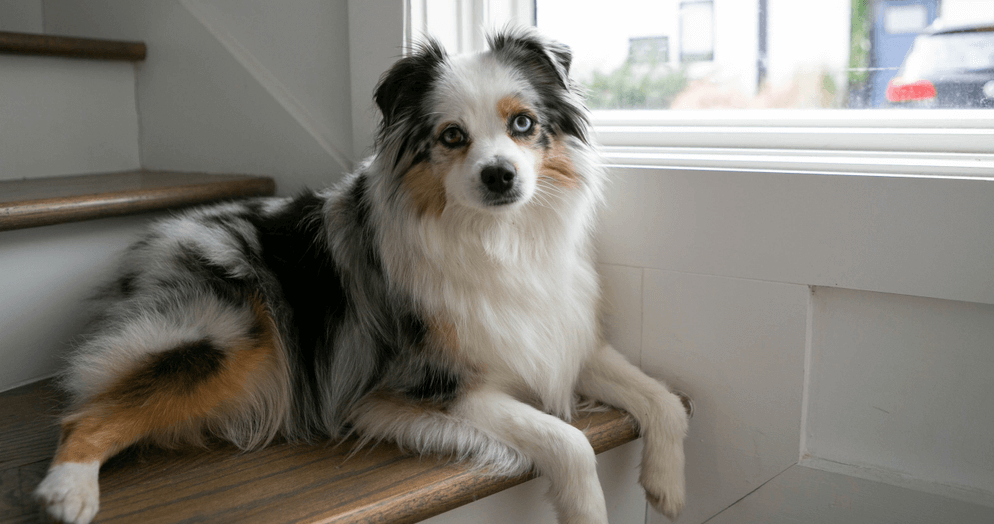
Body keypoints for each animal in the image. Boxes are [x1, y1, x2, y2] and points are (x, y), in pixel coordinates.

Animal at [29, 27, 680, 524]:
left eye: (522, 123)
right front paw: (589, 509)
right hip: (228, 336)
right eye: (452, 136)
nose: (500, 176)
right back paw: (68, 492)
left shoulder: (565, 340)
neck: (498, 239)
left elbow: (664, 398)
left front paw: (668, 485)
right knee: (83, 414)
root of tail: (154, 239)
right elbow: (567, 440)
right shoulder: (429, 384)